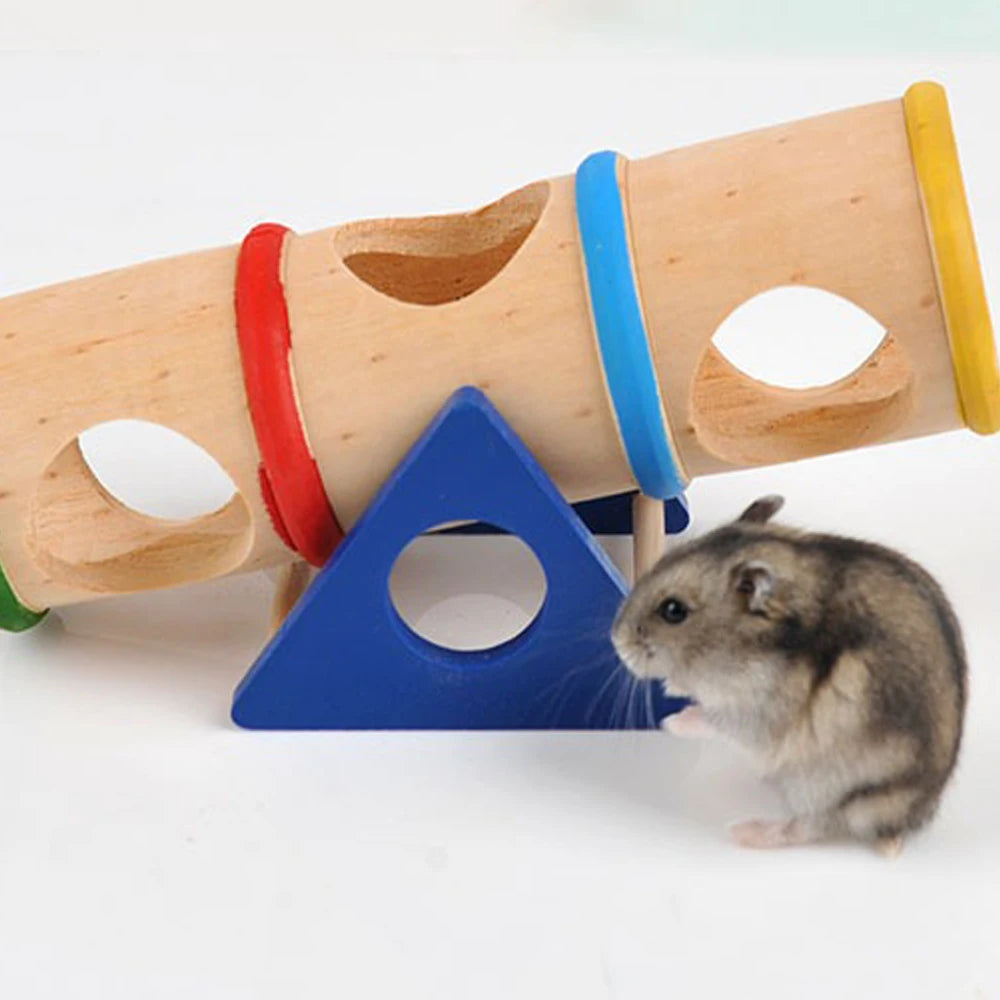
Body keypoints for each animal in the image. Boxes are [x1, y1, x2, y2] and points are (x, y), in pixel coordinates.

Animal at [611, 495, 967, 854]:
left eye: (674, 611)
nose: (616, 639)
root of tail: (904, 822)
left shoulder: (758, 713)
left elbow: (712, 718)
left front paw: (670, 722)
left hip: (834, 788)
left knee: (811, 826)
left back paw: (744, 832)